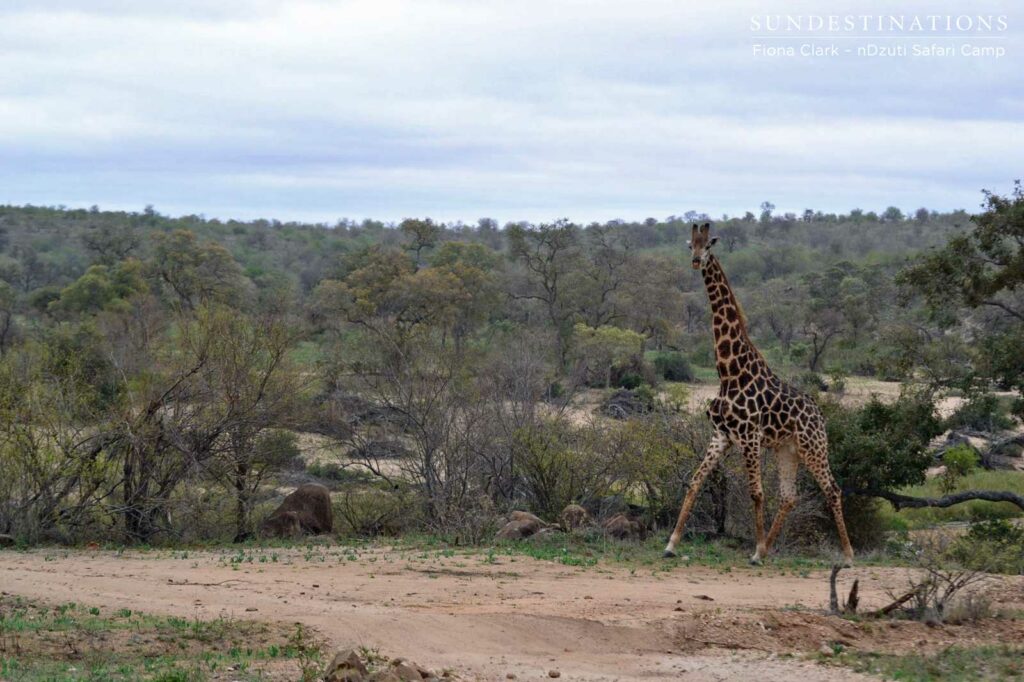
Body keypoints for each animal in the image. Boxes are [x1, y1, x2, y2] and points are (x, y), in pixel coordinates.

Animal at [663, 222, 854, 565]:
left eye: (708, 246)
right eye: (690, 245)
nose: (696, 261)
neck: (728, 372)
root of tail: (820, 415)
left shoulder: (749, 436)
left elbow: (756, 492)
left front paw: (754, 549)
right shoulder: (721, 435)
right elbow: (695, 482)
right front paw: (671, 544)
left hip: (813, 447)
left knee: (832, 489)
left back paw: (846, 555)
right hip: (787, 450)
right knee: (789, 496)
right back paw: (768, 548)